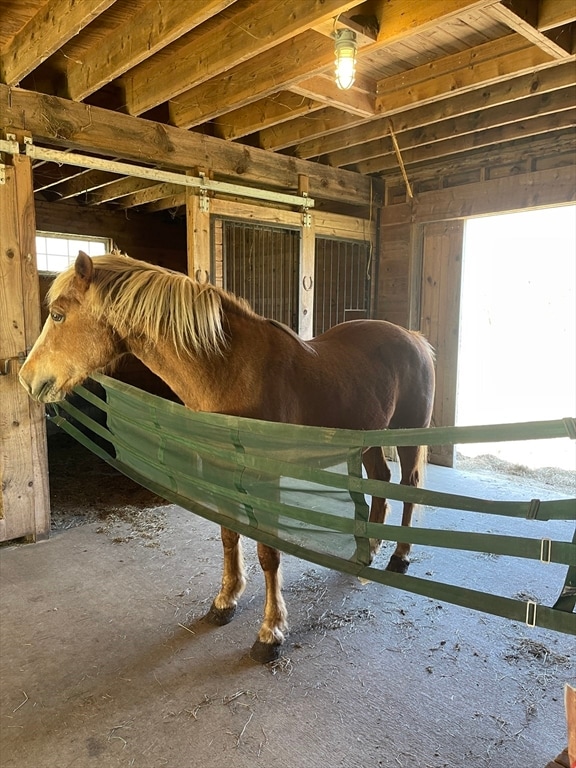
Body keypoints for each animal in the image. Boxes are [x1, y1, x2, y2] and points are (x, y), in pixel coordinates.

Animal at [20, 250, 436, 660]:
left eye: (57, 314)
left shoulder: (265, 480)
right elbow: (228, 536)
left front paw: (270, 633)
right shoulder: (221, 473)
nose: (28, 379)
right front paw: (225, 602)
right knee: (382, 481)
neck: (232, 372)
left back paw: (399, 557)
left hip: (407, 436)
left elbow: (268, 553)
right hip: (368, 439)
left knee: (409, 484)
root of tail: (413, 337)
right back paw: (365, 554)